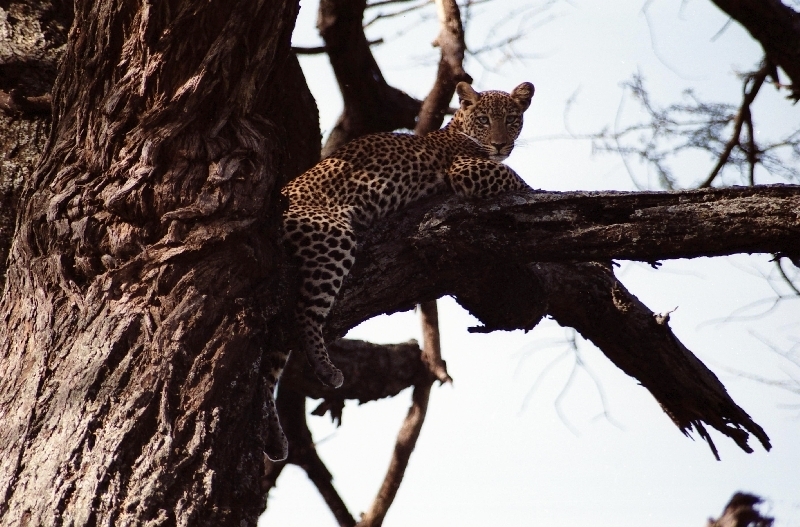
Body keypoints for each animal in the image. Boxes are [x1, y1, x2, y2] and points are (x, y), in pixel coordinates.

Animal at [276, 81, 536, 442]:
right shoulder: (466, 169)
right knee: (305, 314)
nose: (500, 143)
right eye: (484, 120)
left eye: (512, 120)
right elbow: (519, 180)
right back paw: (326, 368)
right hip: (332, 236)